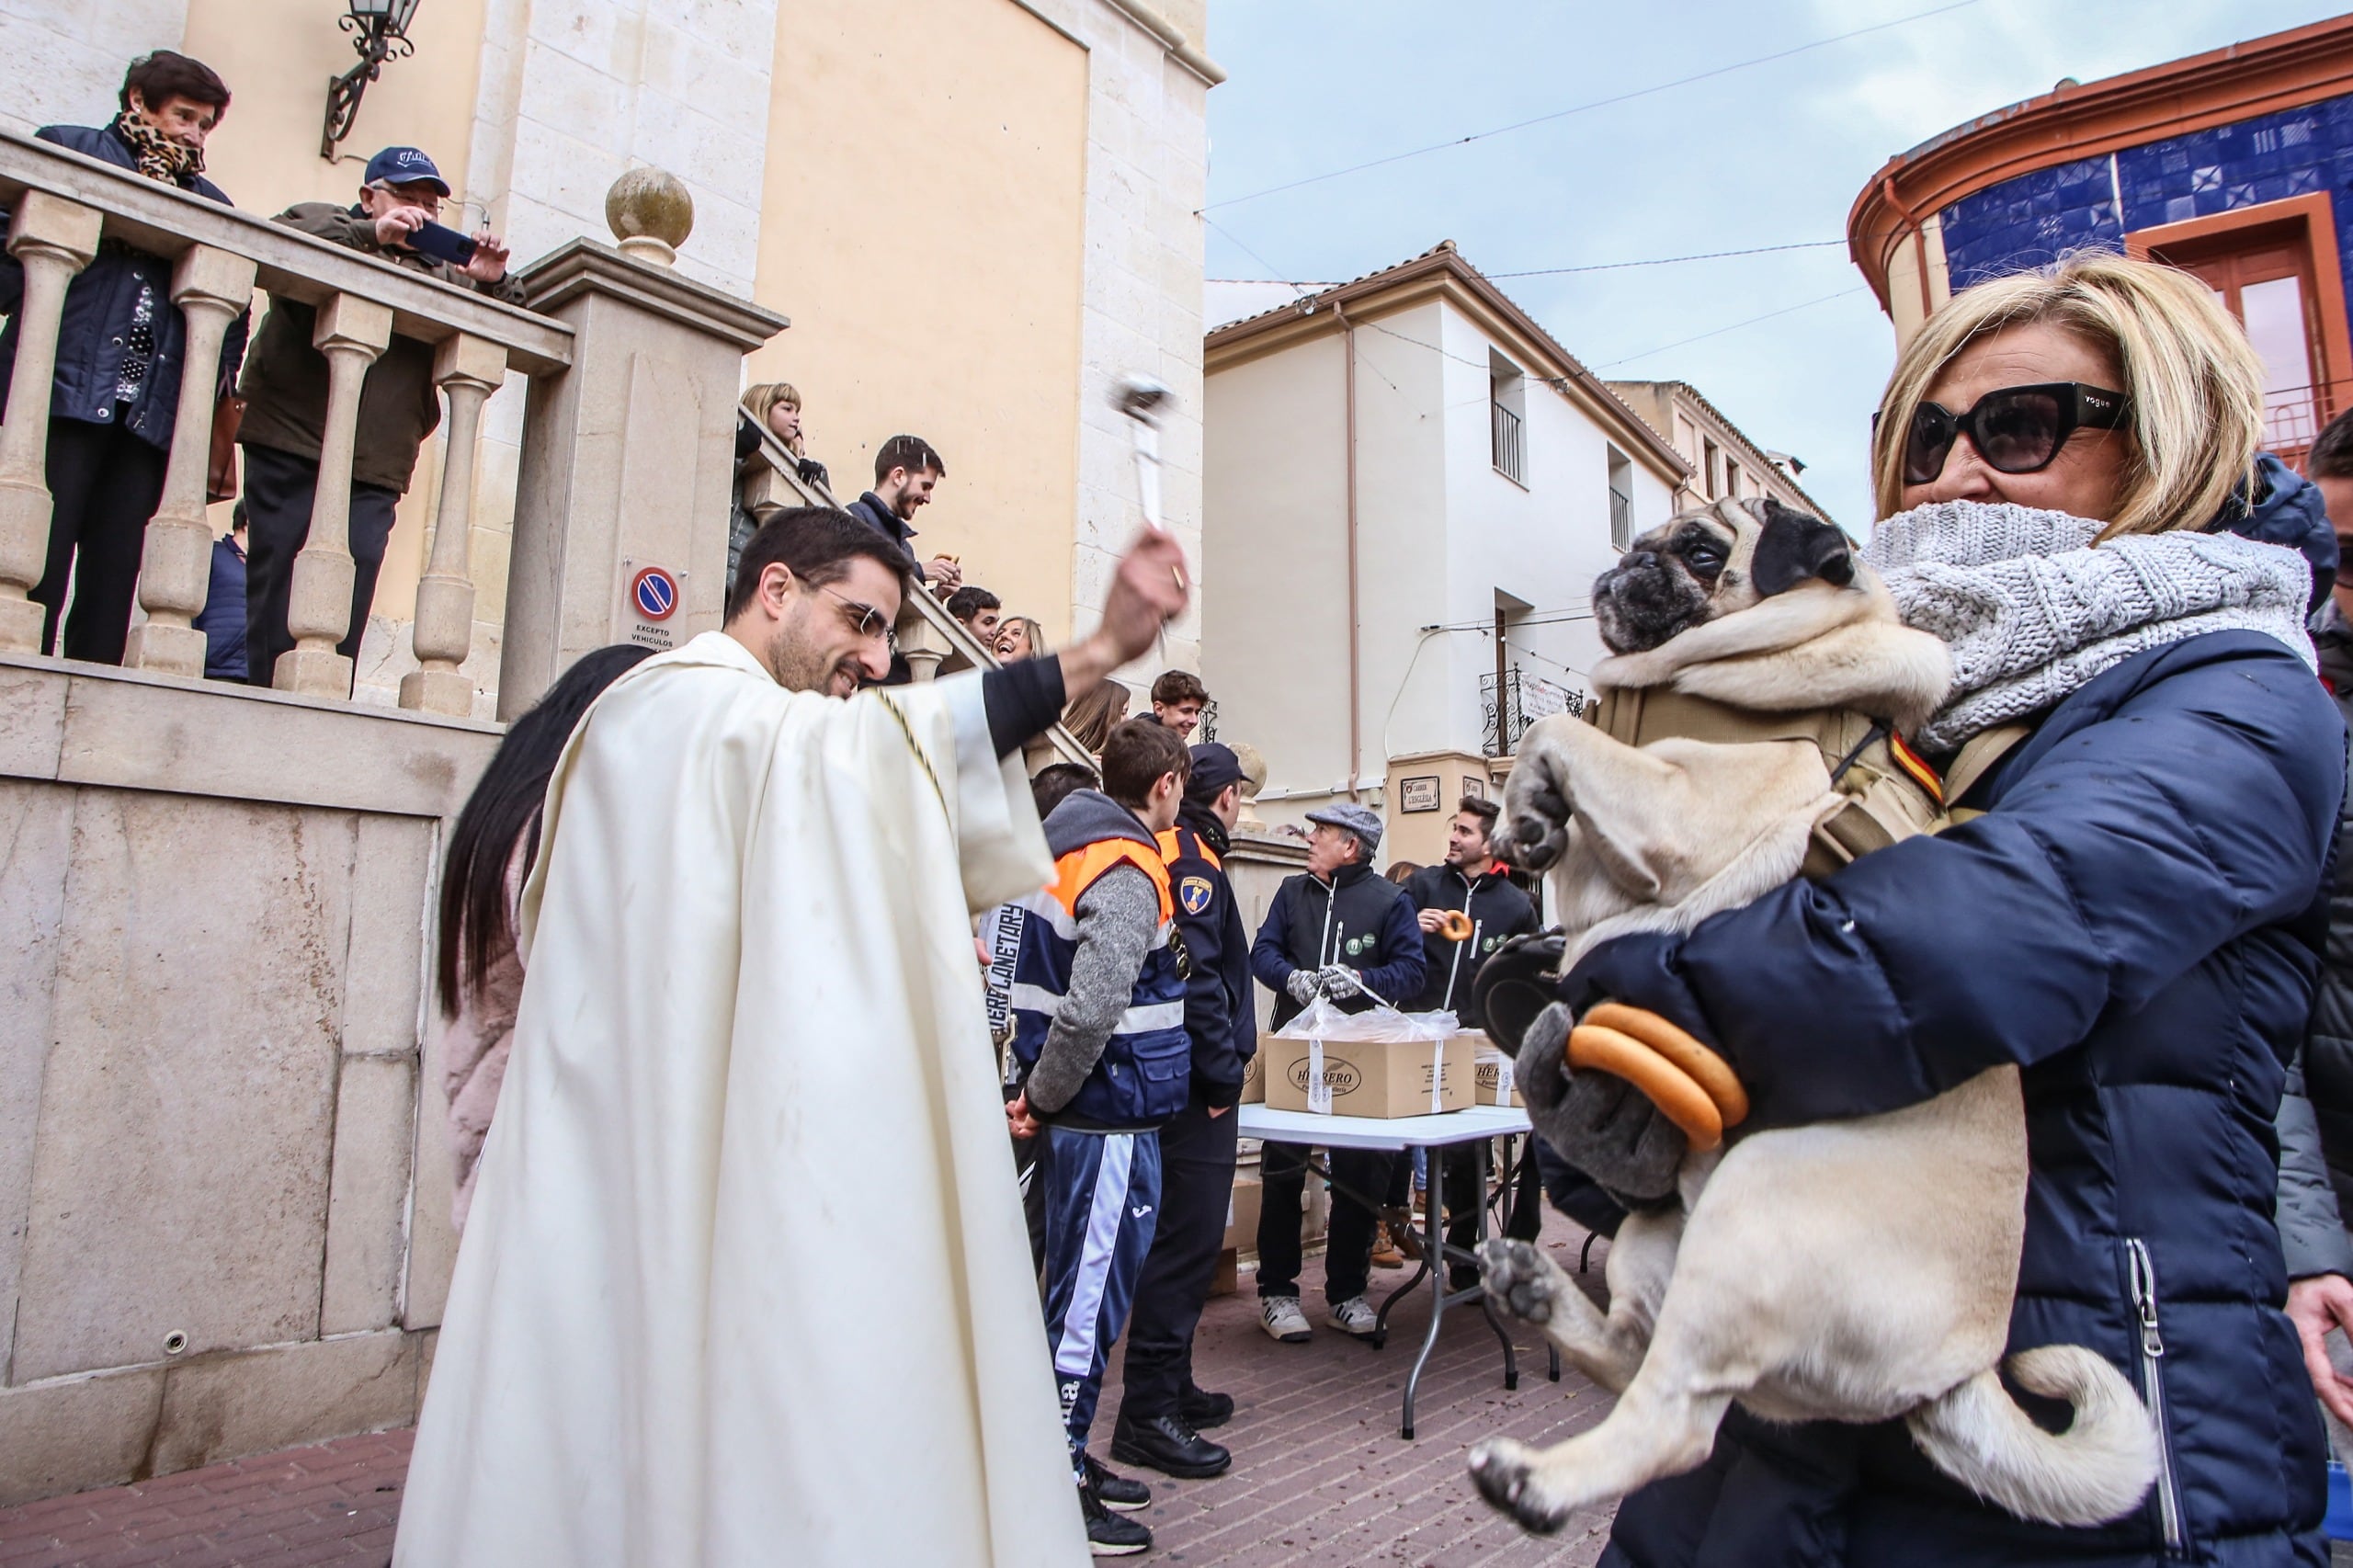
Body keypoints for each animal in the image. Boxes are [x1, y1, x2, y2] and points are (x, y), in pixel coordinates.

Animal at [1468, 496, 2154, 1525]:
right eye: (1648, 532)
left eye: (1699, 550)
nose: (1629, 559)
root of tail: (1955, 1372)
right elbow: (1548, 749)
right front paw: (1528, 822)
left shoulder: (1673, 803)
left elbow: (1558, 726)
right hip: (1655, 1240)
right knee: (1636, 1354)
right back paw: (1533, 1288)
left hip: (1749, 1224)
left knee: (1676, 1419)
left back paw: (1533, 1479)